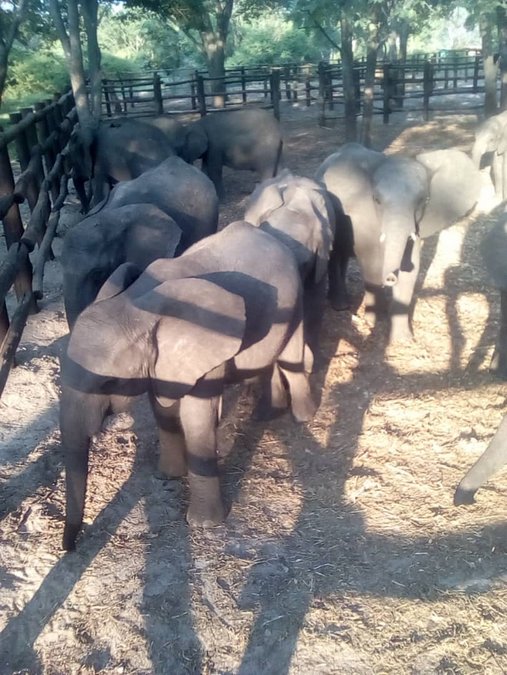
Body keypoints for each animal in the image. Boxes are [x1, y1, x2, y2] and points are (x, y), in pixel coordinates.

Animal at [61, 219, 318, 552]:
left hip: (295, 300)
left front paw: (203, 525)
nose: (69, 547)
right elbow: (163, 408)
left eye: (107, 382)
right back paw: (266, 415)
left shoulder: (206, 346)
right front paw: (168, 477)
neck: (135, 307)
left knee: (290, 357)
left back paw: (303, 417)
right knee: (268, 360)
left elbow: (196, 416)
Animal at [316, 143, 482, 344]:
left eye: (424, 200)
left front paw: (404, 339)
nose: (389, 278)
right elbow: (371, 263)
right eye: (376, 200)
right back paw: (340, 306)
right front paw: (373, 321)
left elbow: (411, 268)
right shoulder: (360, 217)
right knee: (334, 256)